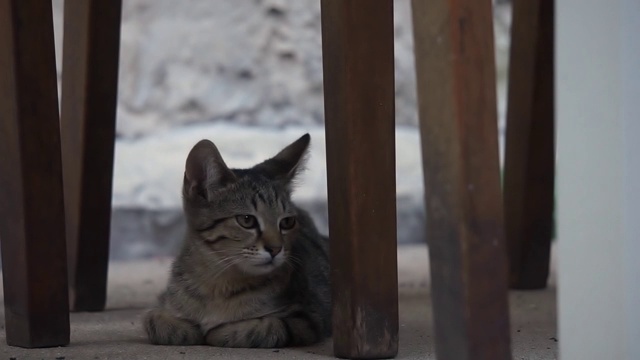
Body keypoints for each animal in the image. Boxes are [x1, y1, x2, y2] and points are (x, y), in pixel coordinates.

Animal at [140, 134, 330, 348]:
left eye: (287, 222)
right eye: (246, 220)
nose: (276, 249)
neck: (217, 284)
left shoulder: (308, 319)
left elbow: (265, 327)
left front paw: (219, 332)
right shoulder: (161, 304)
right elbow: (156, 321)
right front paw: (187, 330)